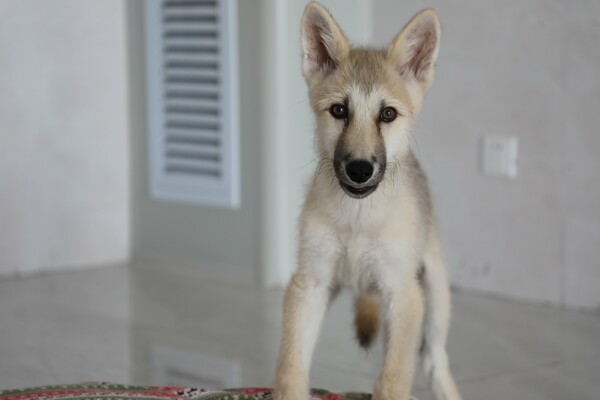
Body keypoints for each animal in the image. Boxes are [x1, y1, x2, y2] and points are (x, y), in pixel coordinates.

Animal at [274, 2, 462, 400]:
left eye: (387, 114)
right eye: (339, 111)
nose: (359, 170)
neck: (357, 219)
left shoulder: (402, 295)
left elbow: (392, 380)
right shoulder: (310, 284)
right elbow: (290, 370)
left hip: (434, 296)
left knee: (434, 361)